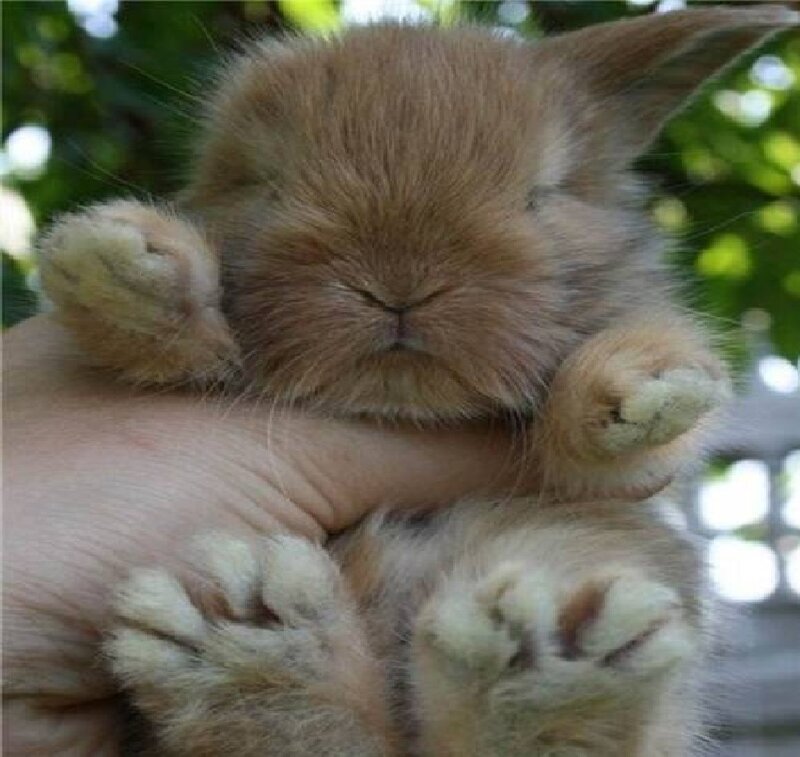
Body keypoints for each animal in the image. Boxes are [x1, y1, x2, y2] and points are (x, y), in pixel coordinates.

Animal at [37, 8, 798, 756]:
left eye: (541, 195)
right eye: (264, 182)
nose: (398, 284)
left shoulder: (605, 489)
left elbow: (620, 442)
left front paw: (646, 387)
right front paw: (119, 263)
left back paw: (544, 661)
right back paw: (248, 641)